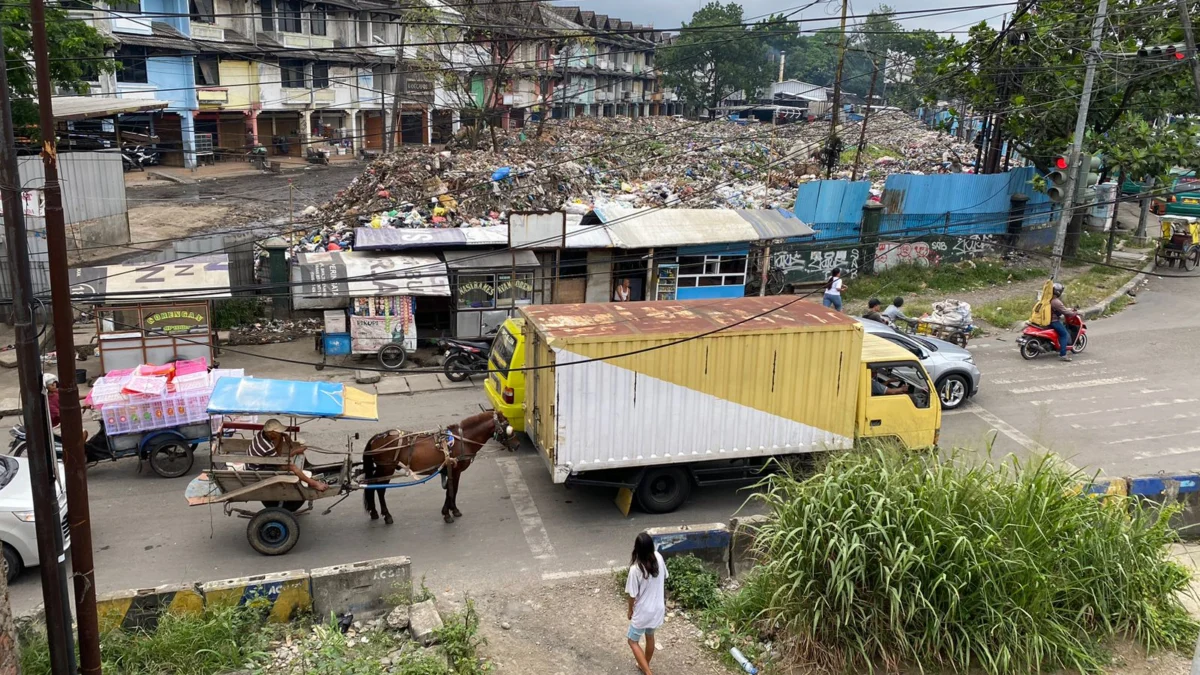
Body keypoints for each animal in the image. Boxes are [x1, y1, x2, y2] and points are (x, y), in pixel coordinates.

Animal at [360, 408, 520, 523]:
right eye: (507, 426)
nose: (517, 444)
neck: (463, 440)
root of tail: (378, 436)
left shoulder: (451, 470)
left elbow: (451, 490)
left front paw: (452, 510)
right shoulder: (455, 470)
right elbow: (452, 490)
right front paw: (448, 513)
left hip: (382, 468)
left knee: (371, 485)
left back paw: (374, 512)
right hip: (387, 468)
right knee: (380, 489)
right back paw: (386, 515)